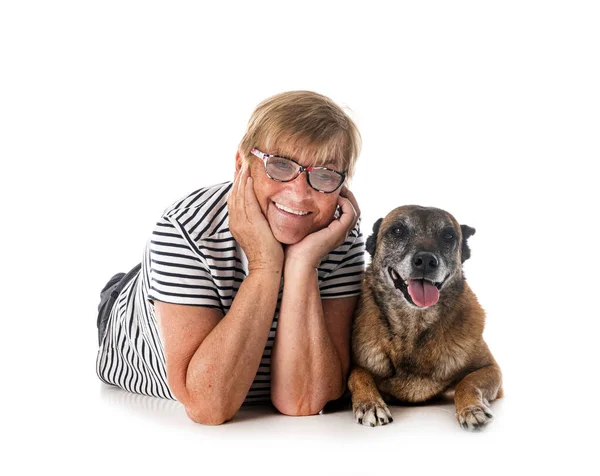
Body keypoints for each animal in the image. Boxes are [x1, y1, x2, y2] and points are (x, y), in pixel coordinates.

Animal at [350, 205, 504, 432]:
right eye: (397, 230)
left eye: (449, 235)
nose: (425, 261)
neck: (414, 326)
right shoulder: (357, 367)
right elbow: (359, 375)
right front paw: (370, 404)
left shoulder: (491, 369)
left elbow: (467, 382)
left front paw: (471, 408)